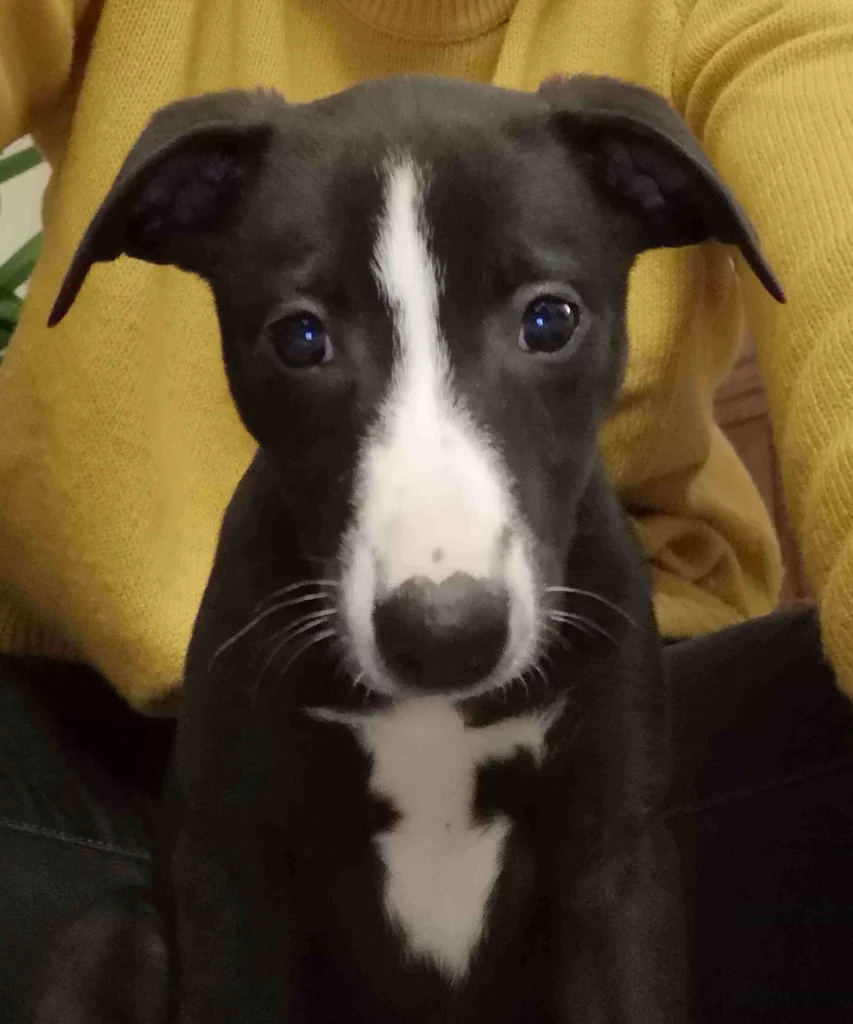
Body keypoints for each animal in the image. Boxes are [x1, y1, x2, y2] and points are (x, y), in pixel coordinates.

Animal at [49, 74, 782, 1024]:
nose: (445, 636)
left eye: (550, 319)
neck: (435, 719)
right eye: (300, 336)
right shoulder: (233, 870)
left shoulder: (616, 867)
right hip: (120, 936)